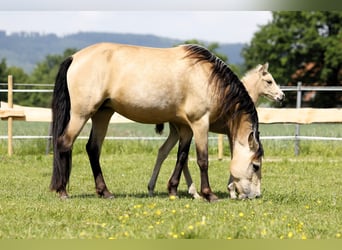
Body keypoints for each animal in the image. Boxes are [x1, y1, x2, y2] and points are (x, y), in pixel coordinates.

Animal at [49, 42, 264, 201]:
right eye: (255, 166)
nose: (255, 195)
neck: (207, 78)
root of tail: (74, 57)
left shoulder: (185, 127)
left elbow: (181, 157)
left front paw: (173, 190)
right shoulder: (200, 124)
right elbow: (202, 160)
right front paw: (208, 194)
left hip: (102, 114)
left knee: (93, 149)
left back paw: (105, 192)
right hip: (81, 114)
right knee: (64, 143)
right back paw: (63, 191)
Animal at [147, 63, 284, 199]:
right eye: (269, 81)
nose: (282, 96)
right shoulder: (231, 134)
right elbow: (234, 155)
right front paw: (233, 191)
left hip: (178, 132)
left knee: (165, 151)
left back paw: (156, 189)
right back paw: (192, 192)